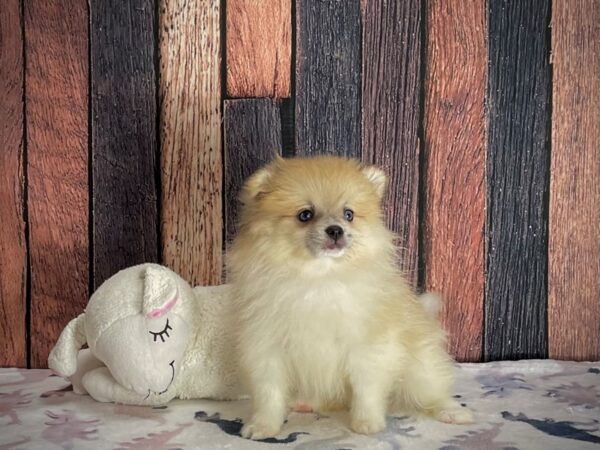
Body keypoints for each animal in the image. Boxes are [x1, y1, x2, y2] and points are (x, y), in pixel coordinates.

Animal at [227, 156, 472, 440]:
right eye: (305, 215)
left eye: (349, 214)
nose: (335, 230)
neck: (318, 279)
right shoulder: (267, 347)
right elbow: (269, 393)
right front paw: (263, 426)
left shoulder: (367, 346)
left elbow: (367, 389)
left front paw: (367, 423)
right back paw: (305, 402)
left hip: (420, 368)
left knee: (433, 391)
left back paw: (452, 412)